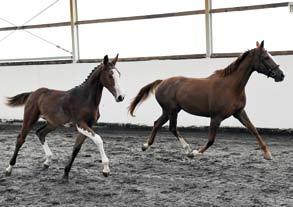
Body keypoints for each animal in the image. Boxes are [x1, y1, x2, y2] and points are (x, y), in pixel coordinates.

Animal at [128, 40, 282, 160]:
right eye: (266, 57)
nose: (281, 75)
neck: (231, 87)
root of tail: (162, 81)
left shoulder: (239, 112)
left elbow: (254, 130)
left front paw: (268, 154)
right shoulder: (216, 117)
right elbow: (211, 140)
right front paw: (195, 153)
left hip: (172, 111)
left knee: (163, 125)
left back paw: (151, 146)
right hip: (170, 110)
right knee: (166, 126)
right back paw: (183, 149)